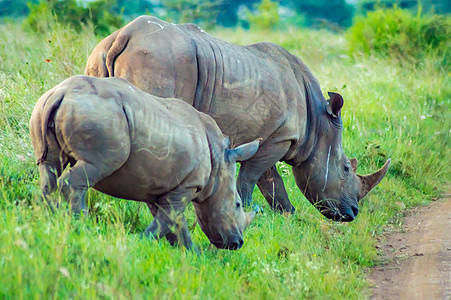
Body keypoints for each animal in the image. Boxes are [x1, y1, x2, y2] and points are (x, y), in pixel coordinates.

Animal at [30, 75, 260, 251]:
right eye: (238, 205)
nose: (237, 243)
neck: (219, 162)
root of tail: (60, 93)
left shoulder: (159, 184)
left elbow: (174, 222)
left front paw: (191, 253)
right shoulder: (187, 185)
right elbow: (169, 218)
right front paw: (141, 243)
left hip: (46, 108)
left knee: (49, 168)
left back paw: (48, 216)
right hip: (99, 114)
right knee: (88, 171)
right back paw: (83, 226)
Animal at [85, 17, 392, 223]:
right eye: (345, 169)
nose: (352, 214)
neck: (317, 124)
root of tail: (121, 36)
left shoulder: (271, 135)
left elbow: (270, 181)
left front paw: (288, 216)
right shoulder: (279, 137)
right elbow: (251, 176)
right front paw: (245, 210)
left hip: (100, 55)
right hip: (160, 60)